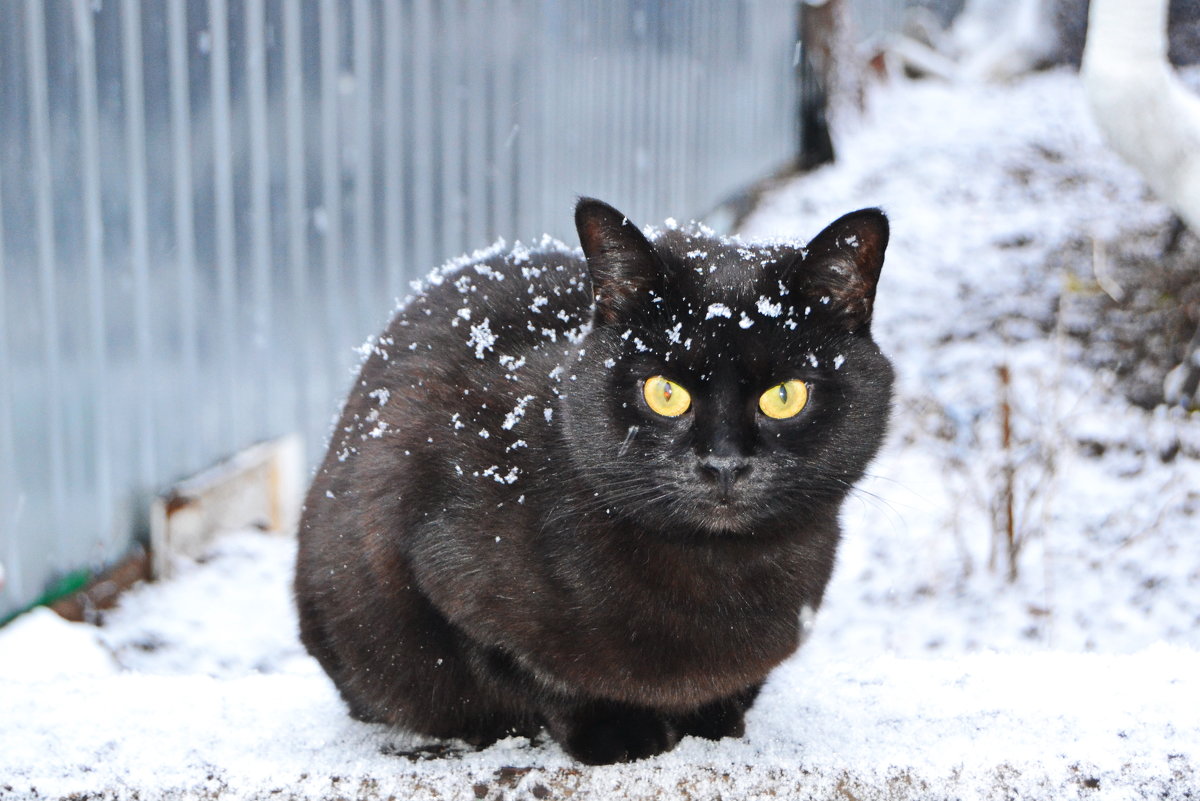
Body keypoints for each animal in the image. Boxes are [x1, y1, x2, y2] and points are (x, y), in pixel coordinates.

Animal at [292, 199, 892, 762]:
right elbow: (534, 669)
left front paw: (715, 719)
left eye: (784, 395)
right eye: (664, 392)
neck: (718, 569)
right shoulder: (433, 563)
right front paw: (619, 732)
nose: (723, 464)